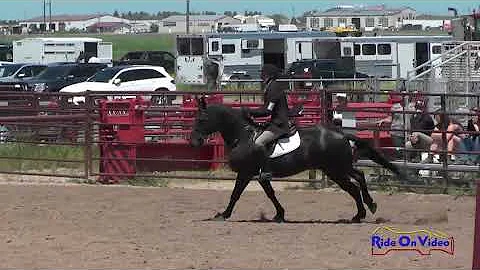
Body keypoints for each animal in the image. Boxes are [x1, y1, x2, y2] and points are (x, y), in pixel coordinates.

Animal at [189, 96, 406, 221]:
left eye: (202, 119)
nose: (194, 142)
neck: (243, 136)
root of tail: (342, 134)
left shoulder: (245, 173)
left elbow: (235, 194)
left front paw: (223, 214)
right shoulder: (260, 175)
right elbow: (271, 194)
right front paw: (280, 214)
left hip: (335, 169)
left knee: (354, 183)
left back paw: (363, 211)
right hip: (336, 168)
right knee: (357, 179)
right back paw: (364, 210)